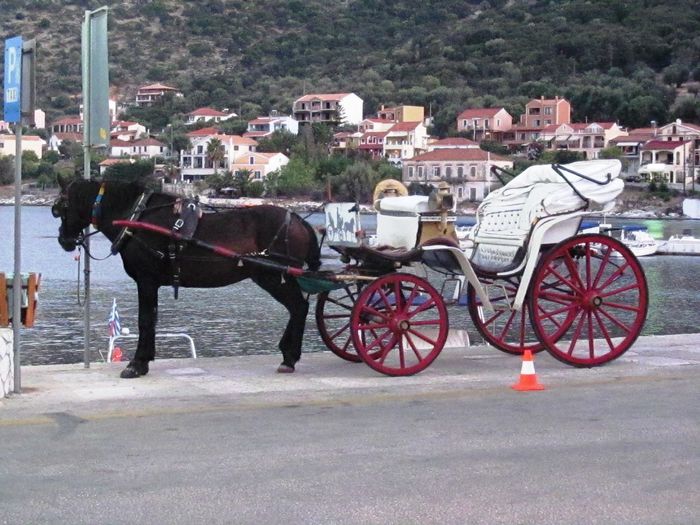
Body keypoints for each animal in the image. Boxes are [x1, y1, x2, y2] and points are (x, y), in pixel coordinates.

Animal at [53, 178, 322, 378]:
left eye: (60, 208)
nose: (63, 239)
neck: (136, 218)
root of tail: (298, 220)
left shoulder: (146, 280)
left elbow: (145, 320)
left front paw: (137, 364)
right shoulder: (150, 283)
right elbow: (152, 320)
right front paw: (145, 360)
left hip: (273, 277)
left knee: (299, 307)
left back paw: (289, 357)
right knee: (298, 308)